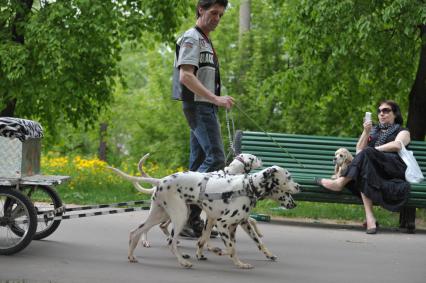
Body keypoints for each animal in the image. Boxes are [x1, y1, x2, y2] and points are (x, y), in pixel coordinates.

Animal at [113, 166, 300, 270]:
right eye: (288, 177)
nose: (299, 187)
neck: (248, 186)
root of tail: (160, 181)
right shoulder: (222, 224)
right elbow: (231, 248)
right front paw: (238, 263)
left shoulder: (238, 223)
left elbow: (258, 242)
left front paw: (269, 255)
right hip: (180, 216)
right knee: (171, 241)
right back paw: (183, 262)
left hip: (159, 215)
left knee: (135, 232)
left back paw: (131, 256)